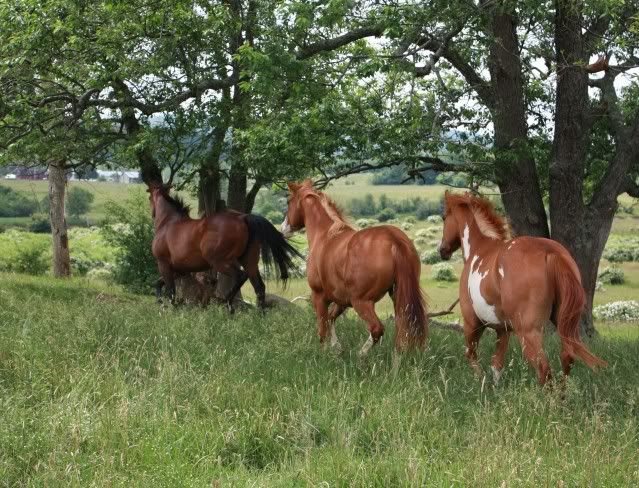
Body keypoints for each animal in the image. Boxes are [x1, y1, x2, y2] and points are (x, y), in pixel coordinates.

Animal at [150, 183, 302, 308]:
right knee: (259, 287)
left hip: (220, 262)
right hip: (249, 262)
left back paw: (228, 303)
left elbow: (170, 291)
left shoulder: (163, 264)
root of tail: (242, 217)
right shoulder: (179, 270)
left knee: (240, 276)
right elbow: (159, 284)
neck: (169, 223)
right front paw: (162, 304)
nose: (152, 213)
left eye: (150, 196)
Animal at [282, 179, 428, 354]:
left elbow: (322, 328)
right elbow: (331, 318)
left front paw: (324, 354)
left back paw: (361, 355)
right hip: (398, 297)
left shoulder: (319, 296)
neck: (326, 236)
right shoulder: (341, 299)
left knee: (376, 329)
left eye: (289, 201)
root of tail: (393, 239)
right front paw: (337, 348)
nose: (283, 228)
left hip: (362, 302)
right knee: (403, 328)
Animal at [438, 191, 608, 386]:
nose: (442, 250)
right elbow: (497, 365)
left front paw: (482, 385)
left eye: (444, 217)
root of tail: (550, 252)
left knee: (544, 369)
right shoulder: (503, 330)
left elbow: (471, 356)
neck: (479, 249)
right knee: (567, 358)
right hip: (566, 327)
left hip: (527, 332)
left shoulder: (472, 323)